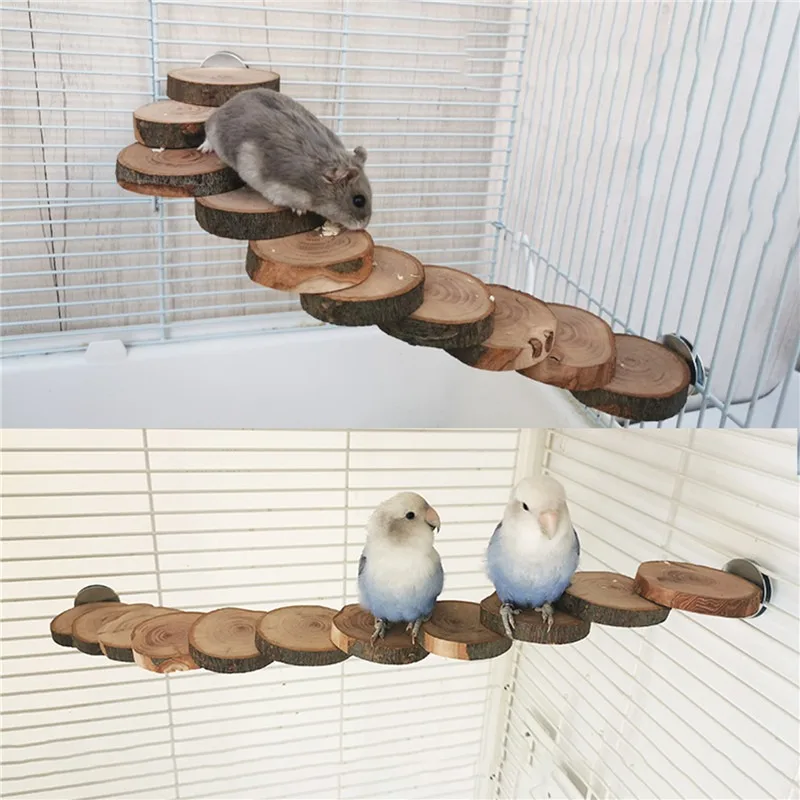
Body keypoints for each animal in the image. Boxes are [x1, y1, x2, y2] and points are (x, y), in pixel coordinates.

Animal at [199, 88, 372, 230]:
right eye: (359, 201)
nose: (363, 226)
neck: (317, 181)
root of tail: (227, 103)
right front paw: (300, 211)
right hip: (212, 130)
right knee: (207, 136)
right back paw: (204, 149)